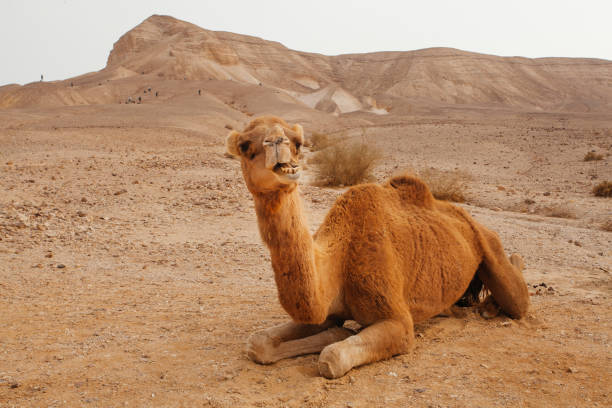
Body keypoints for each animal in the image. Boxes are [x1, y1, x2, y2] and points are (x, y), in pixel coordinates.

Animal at [227, 115, 528, 380]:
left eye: (298, 143)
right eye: (245, 146)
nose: (276, 142)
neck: (340, 258)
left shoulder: (398, 323)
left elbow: (332, 358)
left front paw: (339, 337)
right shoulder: (327, 308)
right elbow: (257, 343)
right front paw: (338, 332)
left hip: (489, 245)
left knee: (517, 298)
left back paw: (496, 296)